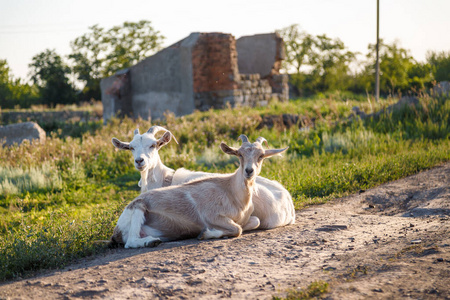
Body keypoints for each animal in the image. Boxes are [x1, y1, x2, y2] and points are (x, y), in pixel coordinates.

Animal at [110, 136, 286, 248]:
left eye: (261, 155)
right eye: (239, 154)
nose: (249, 171)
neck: (231, 191)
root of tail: (117, 230)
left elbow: (253, 222)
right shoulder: (212, 215)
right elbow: (237, 229)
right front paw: (206, 234)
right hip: (138, 207)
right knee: (130, 242)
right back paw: (151, 242)